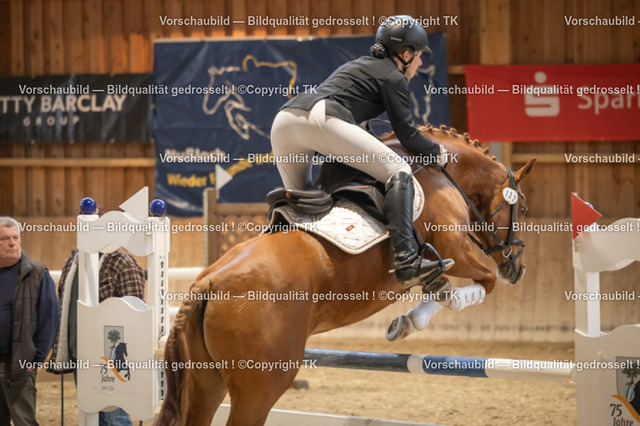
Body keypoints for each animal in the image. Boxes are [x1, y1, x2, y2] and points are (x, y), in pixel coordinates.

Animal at [155, 124, 536, 425]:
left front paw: (410, 317)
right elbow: (482, 283)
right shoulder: (455, 246)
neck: (440, 175)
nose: (518, 268)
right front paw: (425, 307)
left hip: (207, 382)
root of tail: (208, 283)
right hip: (261, 385)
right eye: (523, 207)